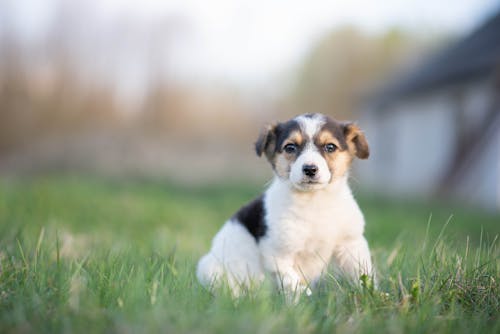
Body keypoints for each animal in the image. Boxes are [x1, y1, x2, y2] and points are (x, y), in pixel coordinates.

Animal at [197, 113, 374, 298]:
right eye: (290, 147)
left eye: (330, 147)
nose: (310, 169)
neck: (314, 202)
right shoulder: (278, 255)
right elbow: (294, 284)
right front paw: (305, 299)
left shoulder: (351, 245)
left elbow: (363, 275)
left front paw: (372, 295)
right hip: (210, 269)